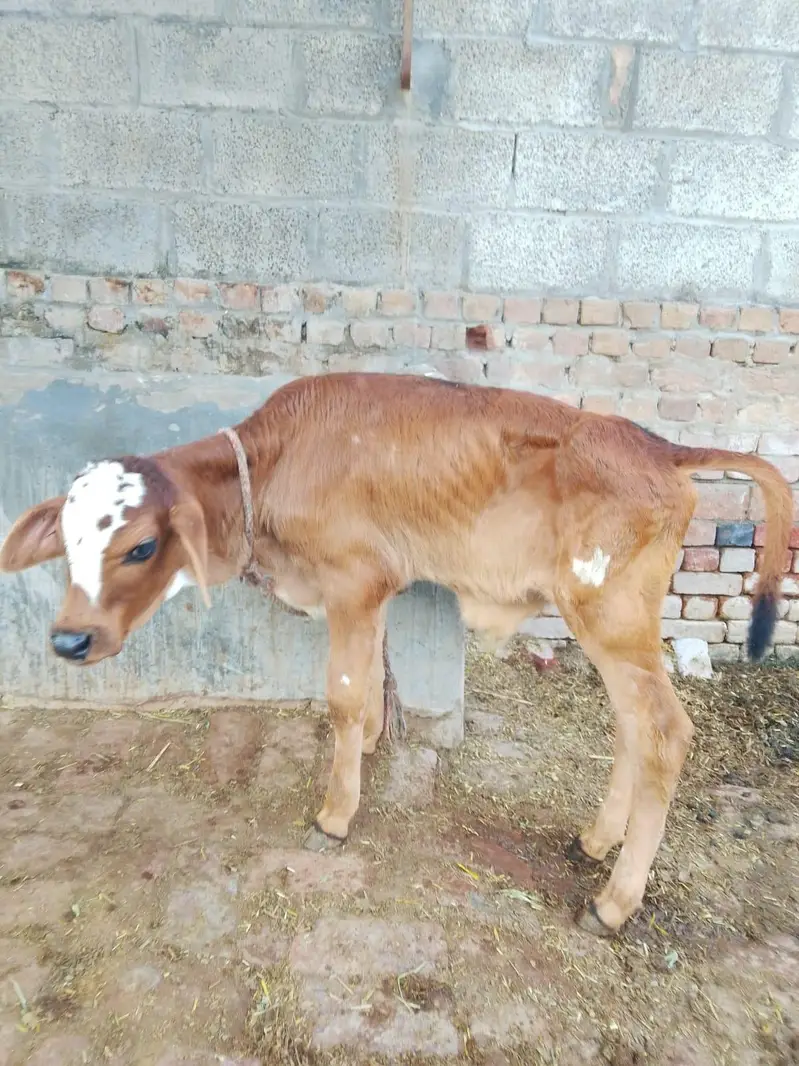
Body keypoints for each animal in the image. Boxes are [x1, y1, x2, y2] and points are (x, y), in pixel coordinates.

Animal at [0, 372, 792, 936]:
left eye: (140, 545)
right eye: (67, 540)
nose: (69, 639)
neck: (275, 465)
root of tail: (657, 444)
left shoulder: (353, 581)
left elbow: (345, 692)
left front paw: (335, 813)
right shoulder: (373, 590)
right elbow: (375, 676)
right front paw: (375, 744)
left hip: (608, 613)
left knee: (664, 731)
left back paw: (614, 902)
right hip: (617, 625)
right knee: (633, 728)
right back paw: (595, 841)